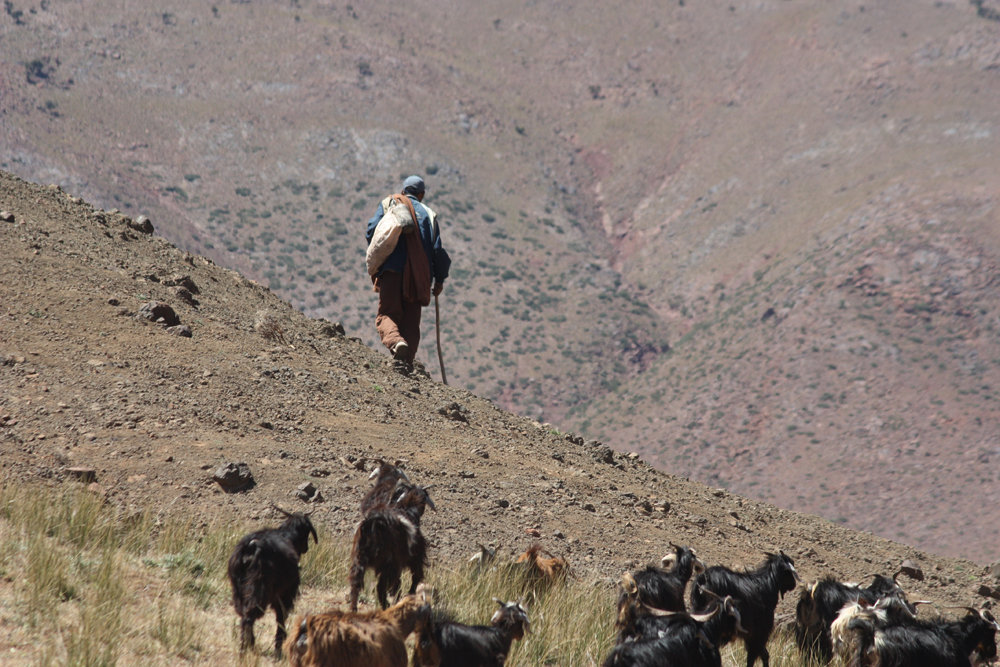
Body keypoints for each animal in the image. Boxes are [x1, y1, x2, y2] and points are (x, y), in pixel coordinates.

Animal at [229, 506, 318, 656]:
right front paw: (278, 648)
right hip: (259, 588)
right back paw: (247, 649)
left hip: (238, 589)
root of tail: (252, 546)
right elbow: (281, 618)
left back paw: (246, 646)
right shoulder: (285, 594)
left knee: (243, 614)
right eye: (306, 531)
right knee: (249, 616)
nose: (306, 548)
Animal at [348, 482, 434, 612]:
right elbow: (414, 577)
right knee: (381, 587)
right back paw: (387, 606)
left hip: (359, 559)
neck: (407, 509)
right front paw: (408, 595)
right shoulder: (415, 557)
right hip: (388, 564)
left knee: (356, 583)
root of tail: (374, 524)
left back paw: (354, 609)